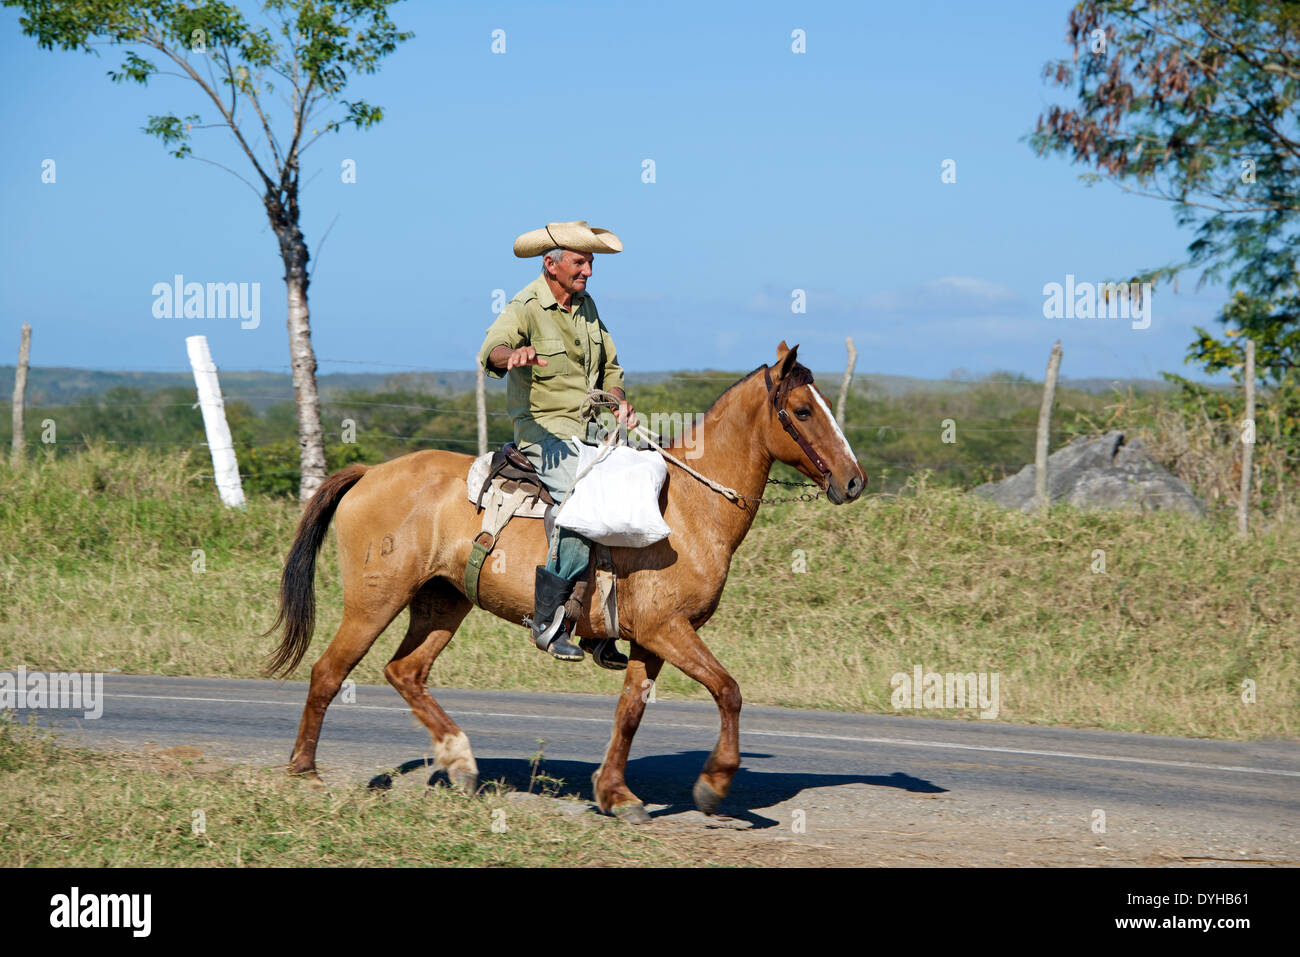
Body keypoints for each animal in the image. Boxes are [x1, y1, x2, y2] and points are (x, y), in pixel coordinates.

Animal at [266, 340, 863, 816]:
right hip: (375, 602)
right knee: (327, 673)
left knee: (406, 672)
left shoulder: (650, 639)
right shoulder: (669, 630)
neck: (688, 508)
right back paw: (305, 772)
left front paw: (616, 794)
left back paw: (460, 760)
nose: (854, 481)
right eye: (803, 410)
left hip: (442, 602)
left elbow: (630, 712)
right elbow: (729, 691)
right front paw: (714, 784)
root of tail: (371, 473)